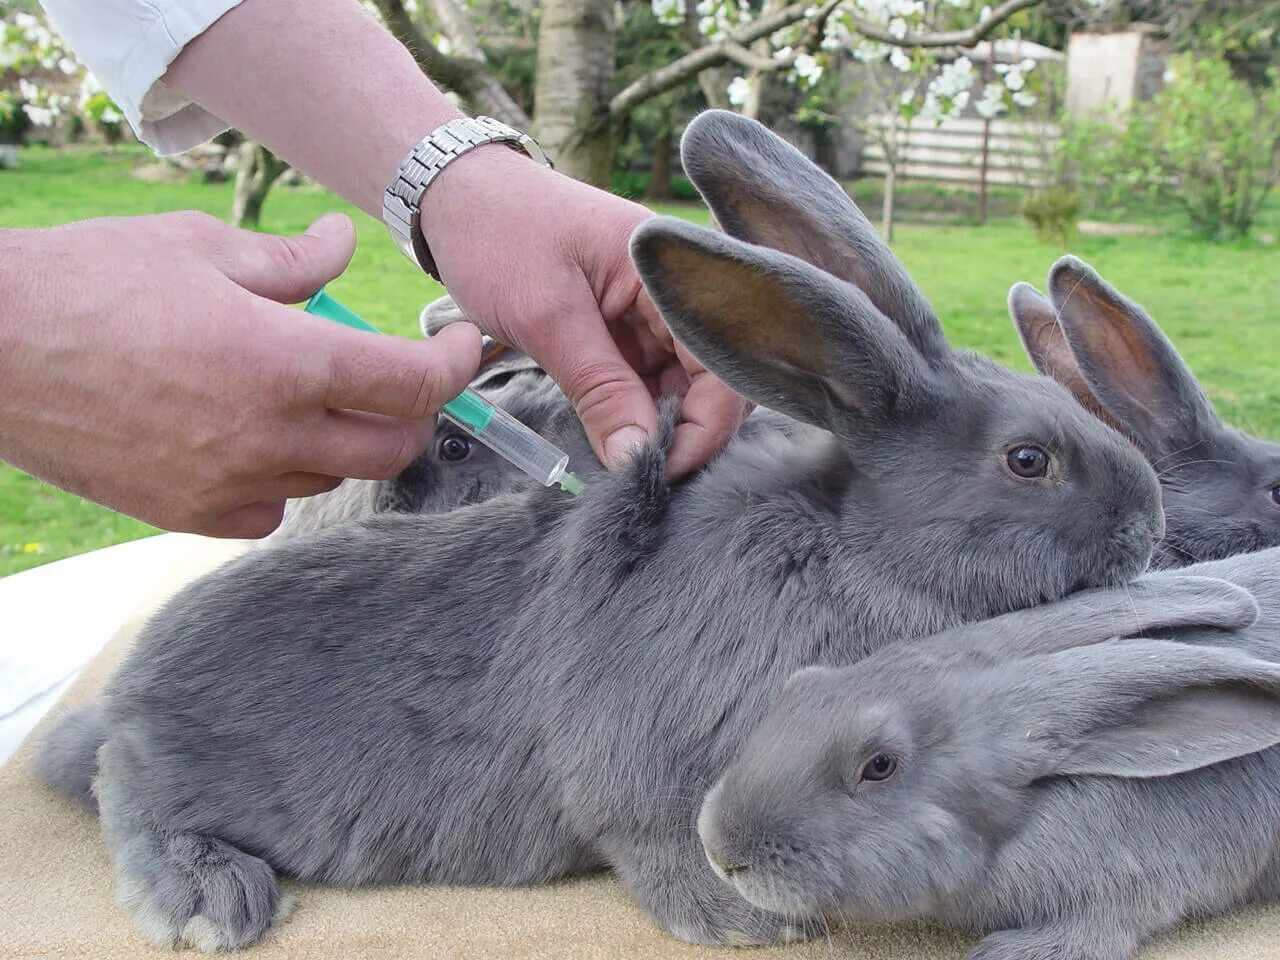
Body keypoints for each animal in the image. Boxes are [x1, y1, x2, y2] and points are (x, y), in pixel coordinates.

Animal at [37, 108, 1162, 952]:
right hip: (159, 777)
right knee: (126, 801)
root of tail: (125, 701)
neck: (849, 544)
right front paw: (742, 921)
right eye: (1028, 460)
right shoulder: (651, 766)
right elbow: (656, 831)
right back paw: (210, 897)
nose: (1149, 525)